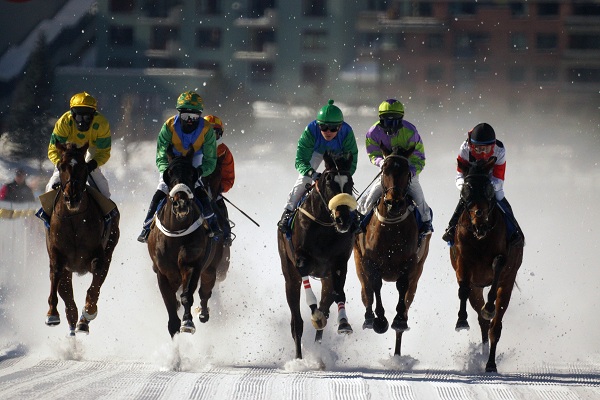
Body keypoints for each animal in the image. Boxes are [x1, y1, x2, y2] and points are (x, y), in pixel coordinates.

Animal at [44, 142, 120, 336]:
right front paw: (51, 314)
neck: (74, 219)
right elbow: (55, 276)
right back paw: (71, 324)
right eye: (61, 166)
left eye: (84, 167)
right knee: (68, 298)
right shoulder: (57, 255)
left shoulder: (99, 255)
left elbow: (94, 287)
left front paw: (88, 313)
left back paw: (82, 322)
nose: (72, 196)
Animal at [148, 147, 225, 338]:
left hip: (212, 266)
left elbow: (187, 295)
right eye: (168, 173)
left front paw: (188, 322)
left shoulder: (192, 263)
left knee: (205, 291)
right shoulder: (162, 271)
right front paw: (174, 327)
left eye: (192, 173)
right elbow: (169, 300)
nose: (181, 203)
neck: (176, 234)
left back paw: (203, 313)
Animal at [276, 150, 356, 360]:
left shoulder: (339, 262)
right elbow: (304, 272)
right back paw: (299, 358)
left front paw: (344, 323)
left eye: (350, 182)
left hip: (326, 279)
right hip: (288, 273)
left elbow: (339, 292)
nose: (343, 220)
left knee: (326, 305)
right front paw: (314, 312)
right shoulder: (300, 257)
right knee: (296, 322)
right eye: (329, 181)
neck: (325, 226)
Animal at [352, 146, 432, 356]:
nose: (393, 202)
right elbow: (375, 285)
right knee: (366, 291)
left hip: (418, 271)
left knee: (407, 299)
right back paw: (369, 318)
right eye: (384, 170)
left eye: (406, 171)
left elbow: (402, 288)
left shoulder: (410, 263)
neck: (390, 228)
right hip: (358, 262)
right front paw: (379, 321)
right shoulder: (369, 261)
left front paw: (398, 320)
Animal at [448, 156, 524, 372]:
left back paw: (490, 363)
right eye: (466, 190)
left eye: (488, 189)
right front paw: (461, 320)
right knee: (483, 322)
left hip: (507, 286)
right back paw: (483, 354)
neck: (480, 237)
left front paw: (489, 307)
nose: (480, 222)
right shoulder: (463, 260)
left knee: (495, 326)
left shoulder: (502, 259)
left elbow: (498, 264)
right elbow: (463, 288)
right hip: (477, 288)